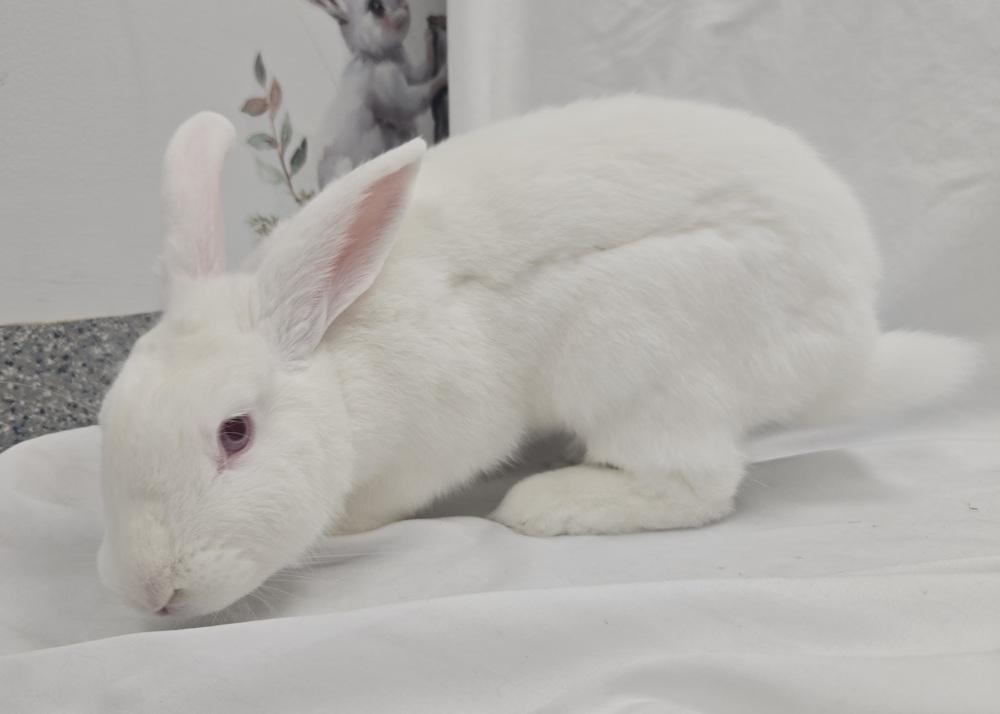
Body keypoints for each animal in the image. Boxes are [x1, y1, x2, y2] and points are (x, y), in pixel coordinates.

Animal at [97, 96, 979, 618]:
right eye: (107, 427)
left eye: (236, 433)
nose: (152, 591)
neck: (341, 366)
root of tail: (849, 346)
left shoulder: (449, 431)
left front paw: (347, 521)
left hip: (634, 355)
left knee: (697, 484)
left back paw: (550, 502)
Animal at [305, 0, 447, 187]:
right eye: (376, 7)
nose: (405, 5)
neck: (379, 57)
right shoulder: (398, 98)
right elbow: (425, 92)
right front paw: (445, 73)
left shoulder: (411, 75)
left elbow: (425, 69)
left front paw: (429, 37)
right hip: (344, 165)